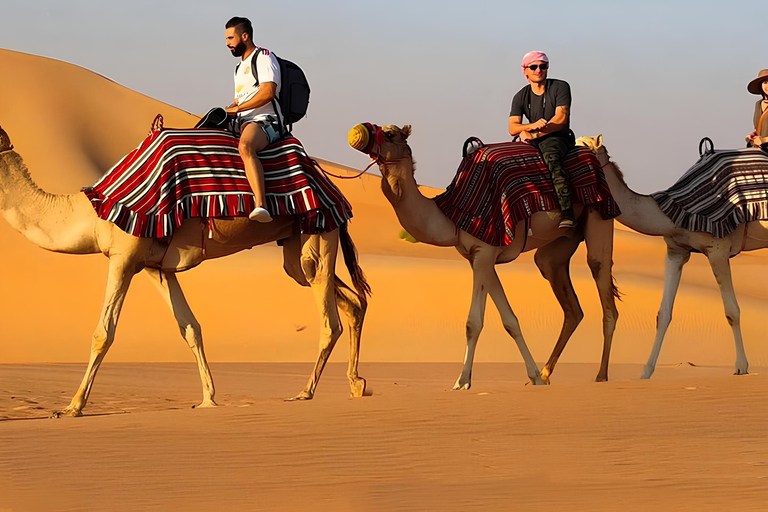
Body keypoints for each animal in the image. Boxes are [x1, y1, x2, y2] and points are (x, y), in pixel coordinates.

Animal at [0, 125, 370, 417]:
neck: (94, 213)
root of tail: (330, 185)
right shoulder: (155, 267)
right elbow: (190, 327)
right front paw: (208, 398)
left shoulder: (123, 256)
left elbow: (103, 333)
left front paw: (71, 407)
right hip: (297, 246)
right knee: (350, 300)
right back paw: (357, 384)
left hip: (318, 232)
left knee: (330, 319)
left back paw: (305, 392)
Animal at [349, 123, 620, 387]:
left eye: (389, 133)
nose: (357, 132)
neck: (451, 215)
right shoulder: (480, 258)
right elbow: (510, 320)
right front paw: (533, 376)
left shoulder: (484, 252)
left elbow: (473, 323)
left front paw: (462, 380)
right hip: (562, 243)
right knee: (569, 301)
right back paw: (546, 373)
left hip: (600, 212)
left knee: (602, 281)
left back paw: (601, 375)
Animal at [576, 135, 768, 378]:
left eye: (583, 147)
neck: (671, 213)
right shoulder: (676, 251)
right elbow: (664, 314)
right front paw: (646, 373)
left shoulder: (718, 249)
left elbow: (732, 311)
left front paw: (741, 367)